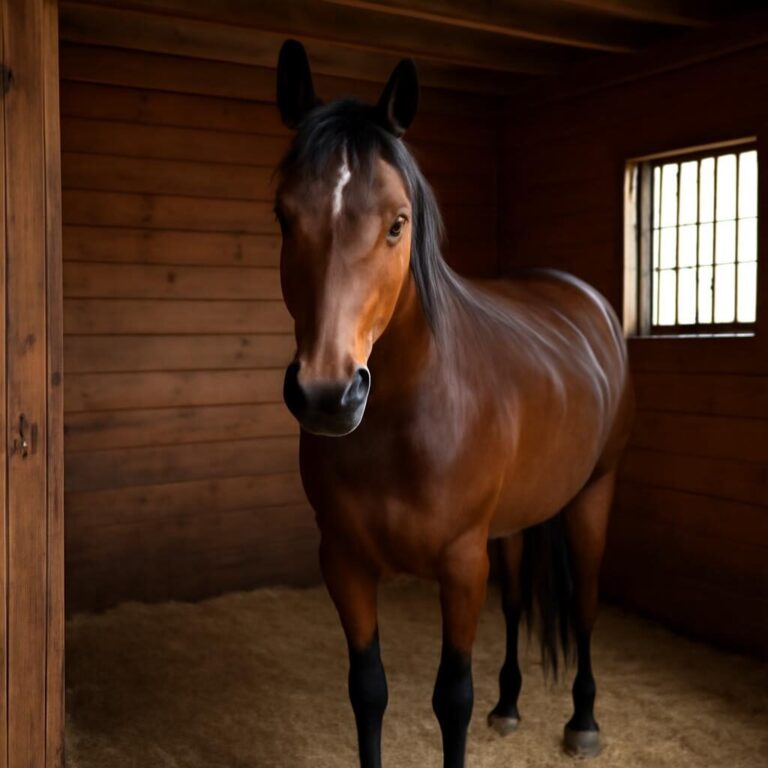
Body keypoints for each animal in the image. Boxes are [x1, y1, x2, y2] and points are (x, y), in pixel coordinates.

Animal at [274, 39, 633, 768]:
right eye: (283, 216)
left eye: (397, 223)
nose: (328, 393)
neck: (406, 417)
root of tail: (587, 300)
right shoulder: (344, 561)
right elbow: (368, 691)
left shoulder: (462, 565)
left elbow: (451, 700)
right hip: (520, 519)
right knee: (519, 601)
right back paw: (511, 703)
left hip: (593, 496)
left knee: (583, 605)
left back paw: (583, 719)